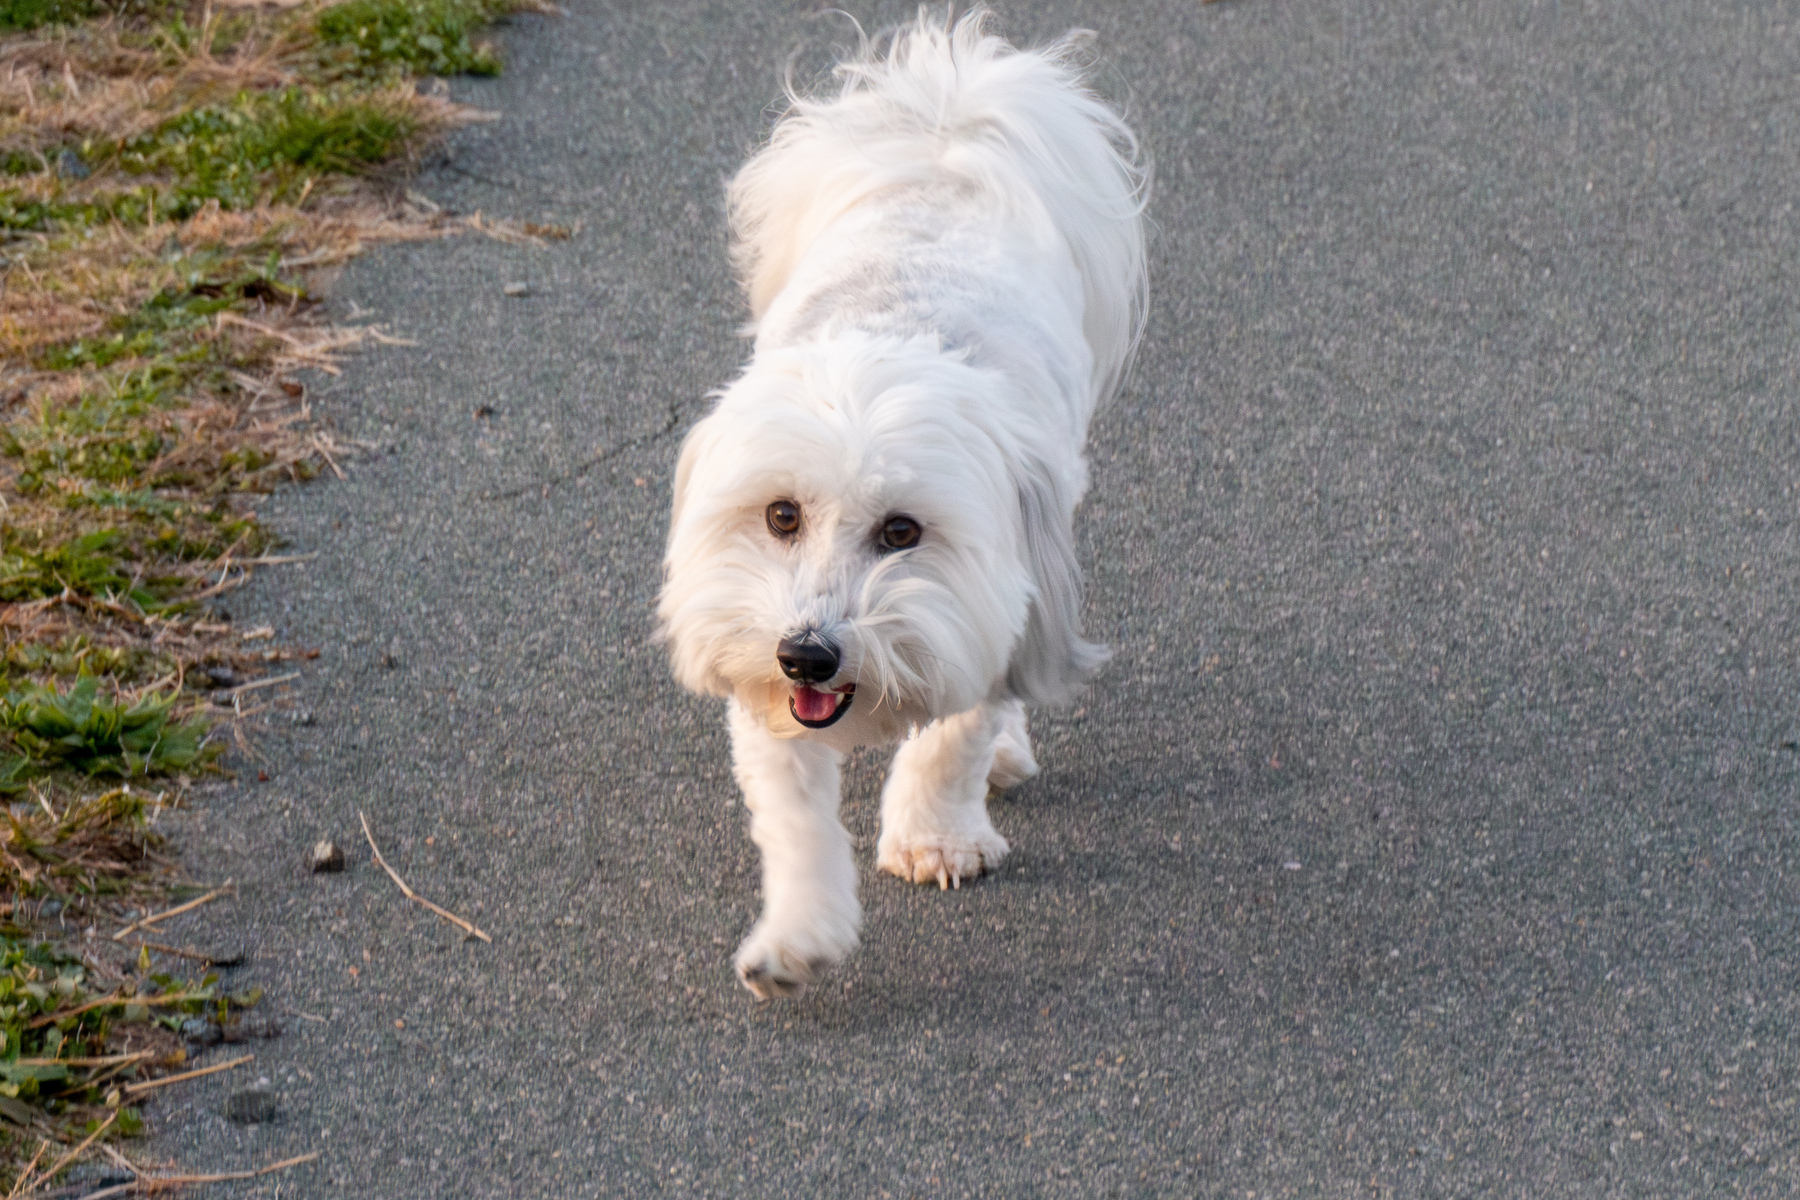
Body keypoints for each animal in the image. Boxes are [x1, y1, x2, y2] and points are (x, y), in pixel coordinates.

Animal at [655, 7, 1144, 1007]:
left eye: (902, 533)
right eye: (781, 516)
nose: (807, 654)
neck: (895, 333)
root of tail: (943, 143)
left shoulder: (990, 592)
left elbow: (956, 733)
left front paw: (934, 835)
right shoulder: (756, 663)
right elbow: (792, 813)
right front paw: (799, 935)